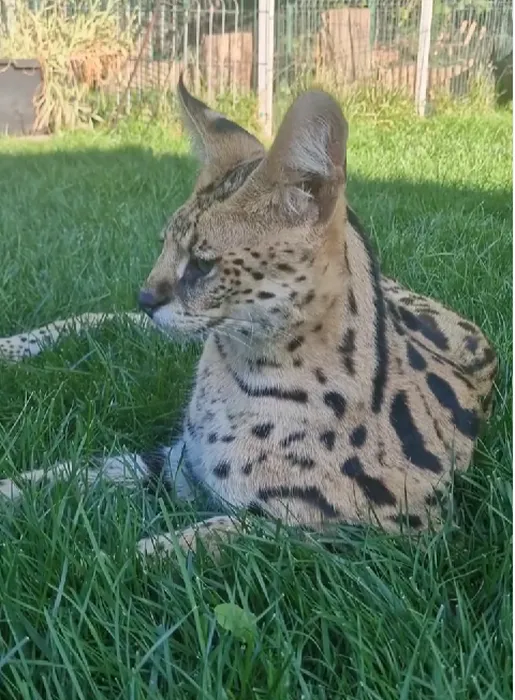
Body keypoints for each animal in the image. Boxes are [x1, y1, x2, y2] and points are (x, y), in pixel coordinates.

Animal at [0, 78, 498, 557]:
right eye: (164, 245)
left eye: (203, 264)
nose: (144, 297)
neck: (236, 372)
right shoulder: (177, 463)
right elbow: (71, 471)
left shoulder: (393, 532)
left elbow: (191, 543)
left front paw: (110, 559)